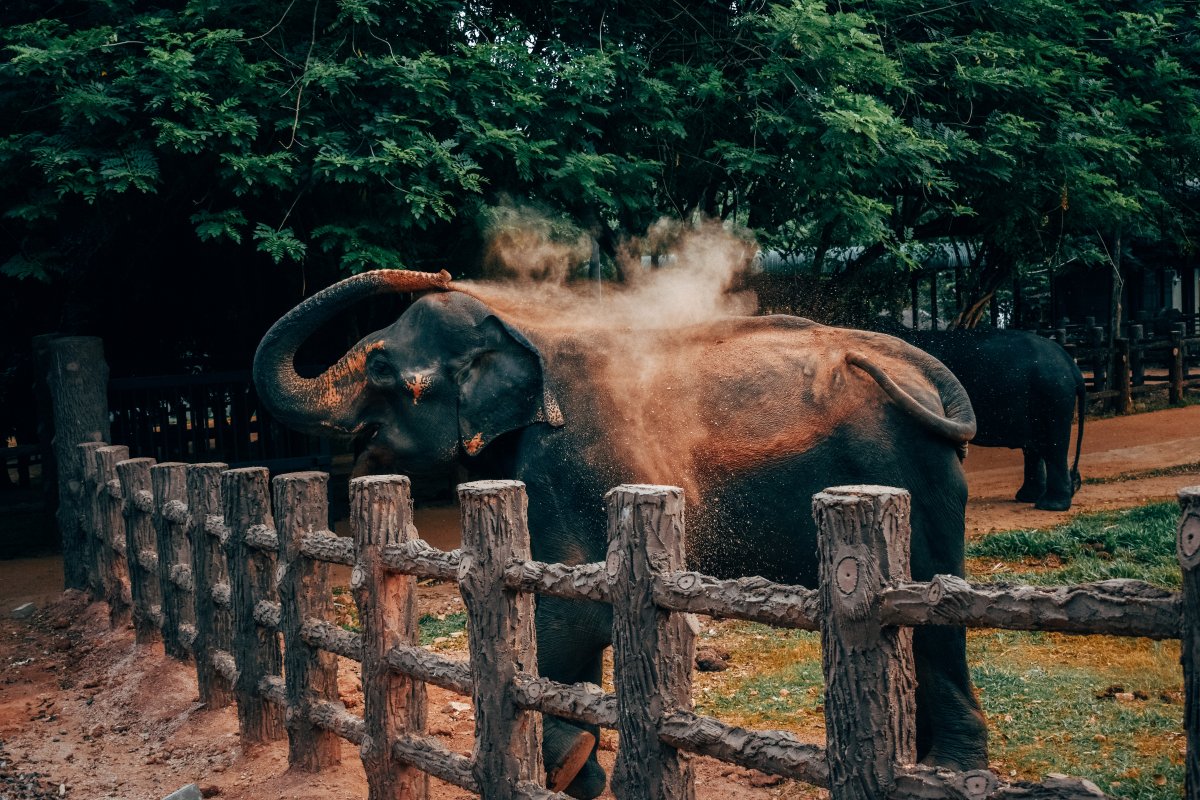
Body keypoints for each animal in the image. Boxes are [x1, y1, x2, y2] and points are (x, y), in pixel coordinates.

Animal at [253, 269, 988, 797]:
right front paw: (580, 774)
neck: (522, 331)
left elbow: (575, 615)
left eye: (381, 372)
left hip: (908, 473)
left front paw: (563, 767)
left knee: (931, 615)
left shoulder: (572, 462)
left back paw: (951, 775)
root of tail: (928, 369)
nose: (434, 267)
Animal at [890, 327, 1085, 511]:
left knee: (1053, 444)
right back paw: (1029, 497)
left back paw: (1049, 506)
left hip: (1053, 395)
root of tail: (1071, 363)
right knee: (1035, 446)